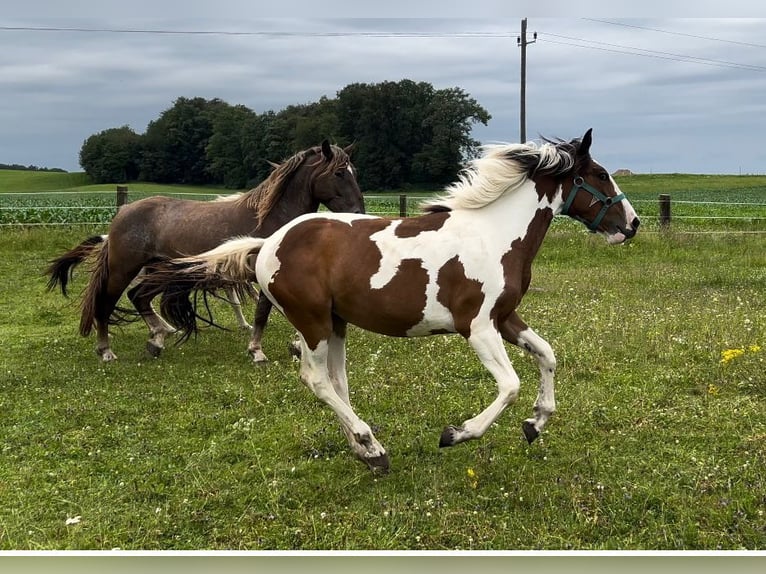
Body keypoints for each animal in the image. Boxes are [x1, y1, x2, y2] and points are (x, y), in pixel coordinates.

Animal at [48, 140, 366, 362]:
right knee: (106, 303)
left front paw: (295, 345)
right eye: (339, 173)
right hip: (123, 269)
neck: (272, 218)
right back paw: (107, 351)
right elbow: (263, 313)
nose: (358, 213)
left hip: (159, 271)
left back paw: (158, 338)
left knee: (138, 297)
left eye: (354, 172)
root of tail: (123, 212)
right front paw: (257, 351)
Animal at [142, 129, 640, 472]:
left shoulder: (505, 317)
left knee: (336, 382)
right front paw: (457, 433)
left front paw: (536, 424)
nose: (632, 224)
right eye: (599, 175)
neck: (494, 235)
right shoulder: (477, 328)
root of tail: (267, 244)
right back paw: (372, 445)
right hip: (313, 322)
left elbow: (548, 356)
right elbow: (510, 386)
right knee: (316, 379)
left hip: (336, 323)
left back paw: (365, 448)